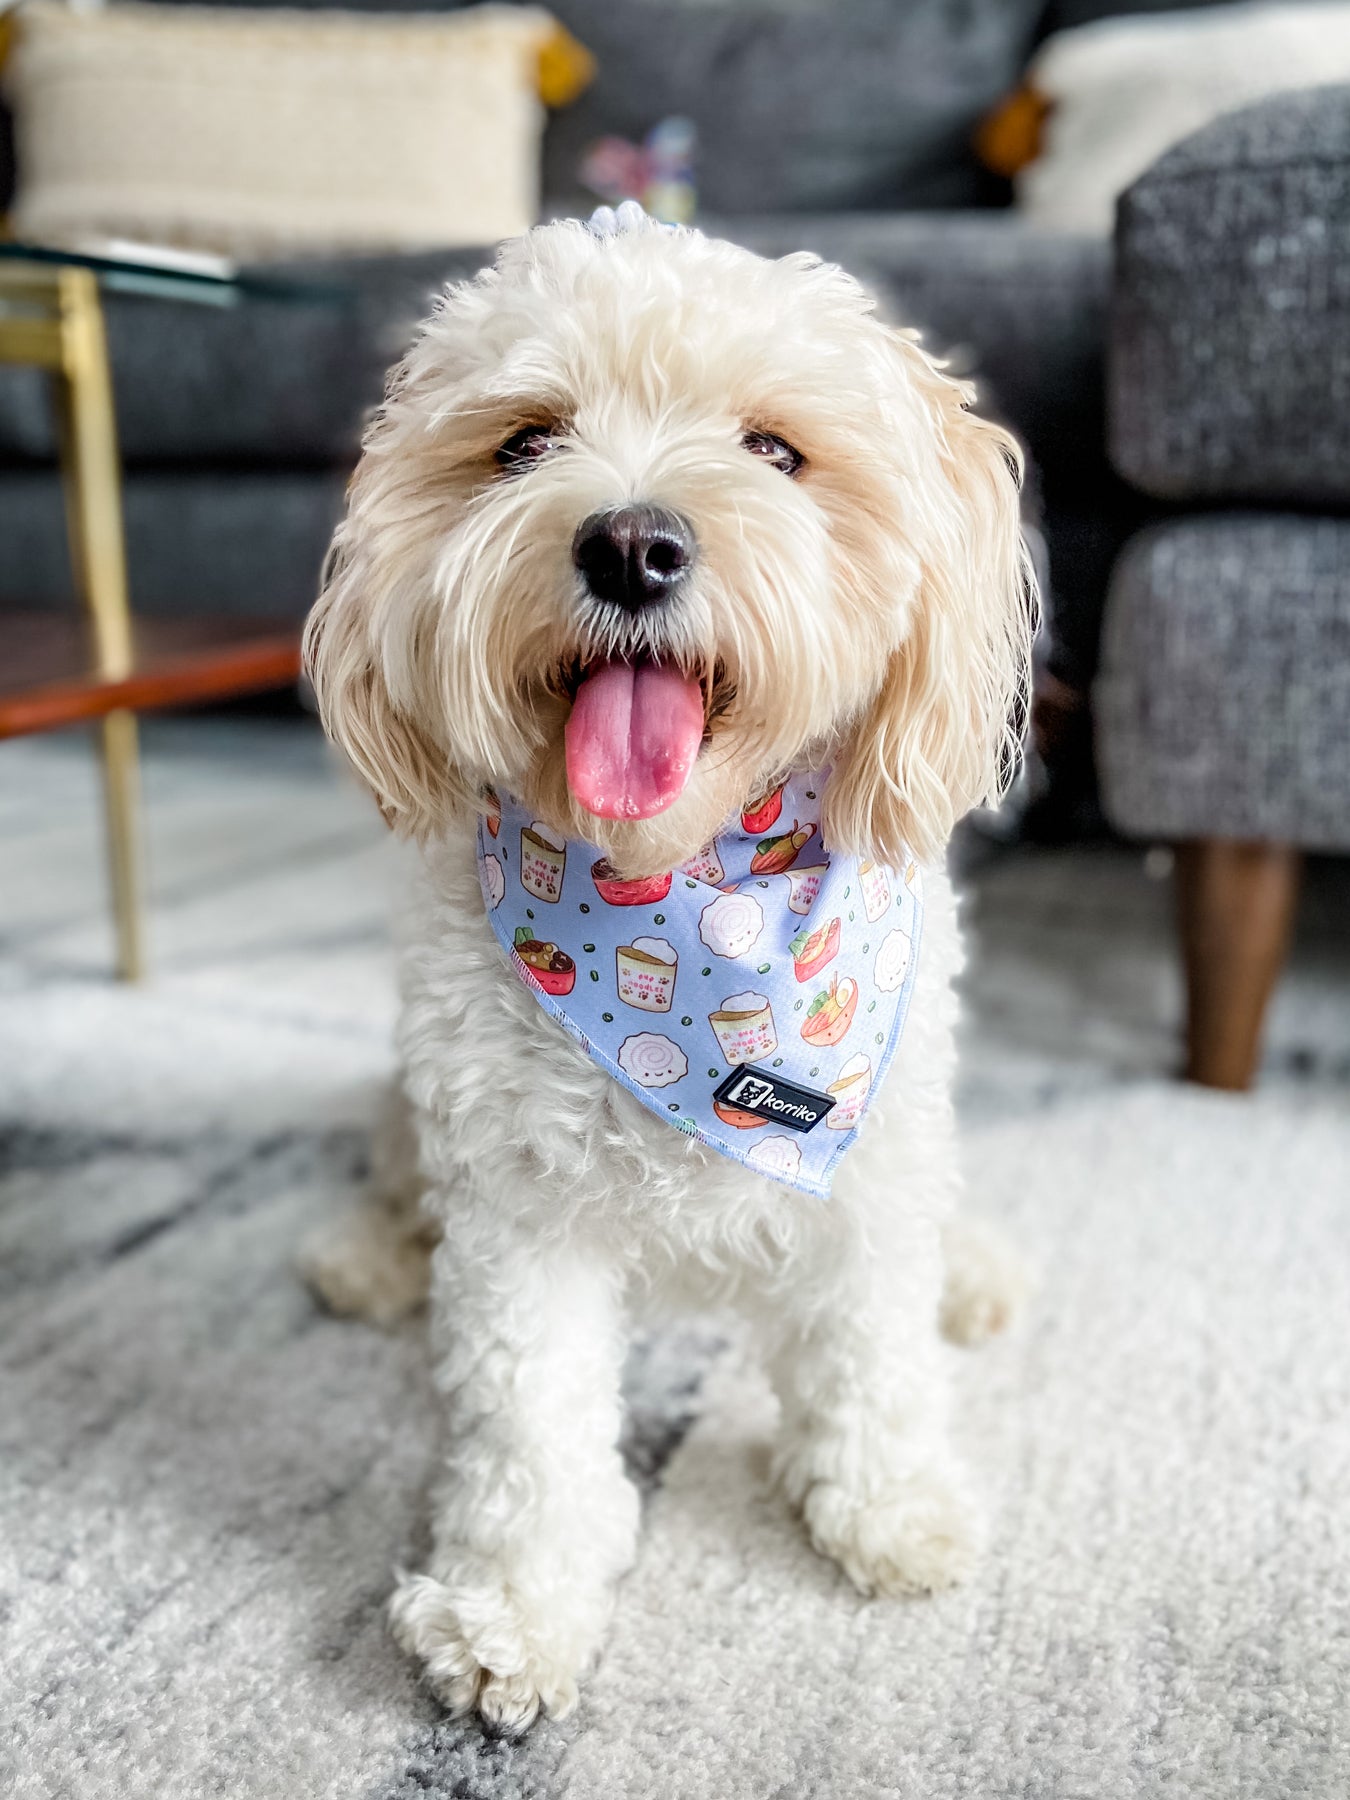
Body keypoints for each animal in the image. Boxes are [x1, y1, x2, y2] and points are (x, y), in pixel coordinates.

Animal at [304, 207, 1036, 1728]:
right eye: (525, 441)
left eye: (773, 448)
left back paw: (974, 1268)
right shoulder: (518, 1211)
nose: (631, 543)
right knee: (395, 1159)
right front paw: (514, 1610)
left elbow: (871, 1351)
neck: (683, 891)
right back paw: (369, 1251)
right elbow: (529, 1427)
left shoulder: (870, 1169)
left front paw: (887, 1508)